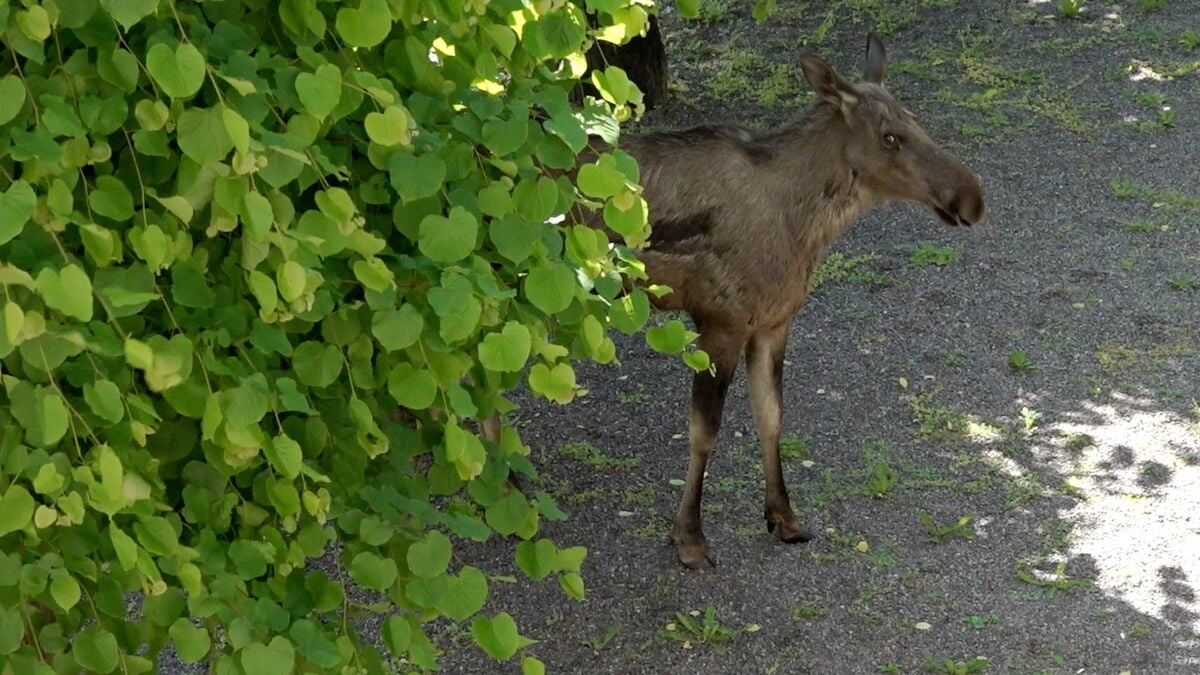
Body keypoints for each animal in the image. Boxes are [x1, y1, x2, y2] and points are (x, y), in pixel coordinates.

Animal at [607, 34, 986, 568]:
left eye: (917, 120)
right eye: (890, 137)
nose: (972, 197)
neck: (806, 228)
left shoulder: (774, 321)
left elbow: (772, 416)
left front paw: (783, 517)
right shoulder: (720, 321)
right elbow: (705, 432)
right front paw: (690, 537)